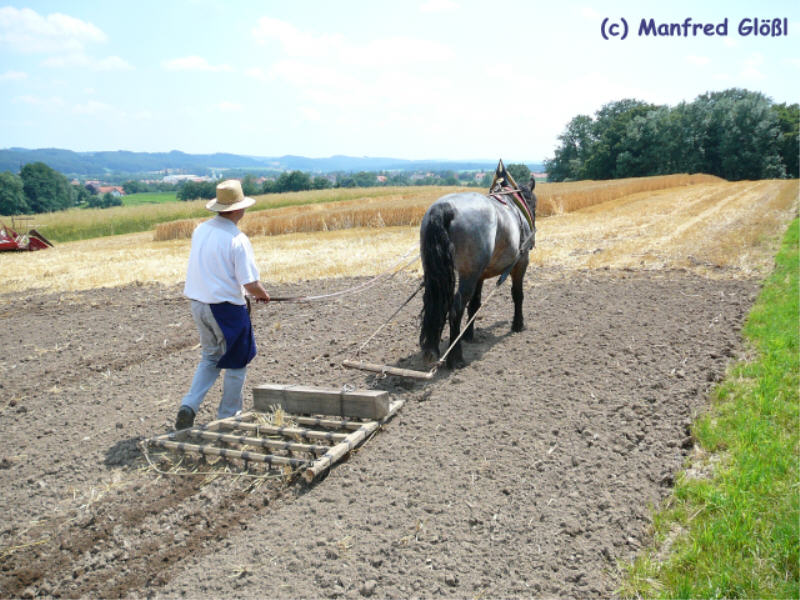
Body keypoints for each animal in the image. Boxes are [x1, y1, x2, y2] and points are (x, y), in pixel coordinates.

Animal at [418, 166, 536, 368]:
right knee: (456, 307)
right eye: (534, 203)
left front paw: (468, 334)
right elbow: (517, 295)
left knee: (435, 302)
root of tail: (445, 208)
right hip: (469, 274)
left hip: (440, 274)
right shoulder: (521, 262)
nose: (533, 240)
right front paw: (518, 324)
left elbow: (475, 304)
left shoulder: (480, 275)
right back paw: (455, 357)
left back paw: (432, 349)